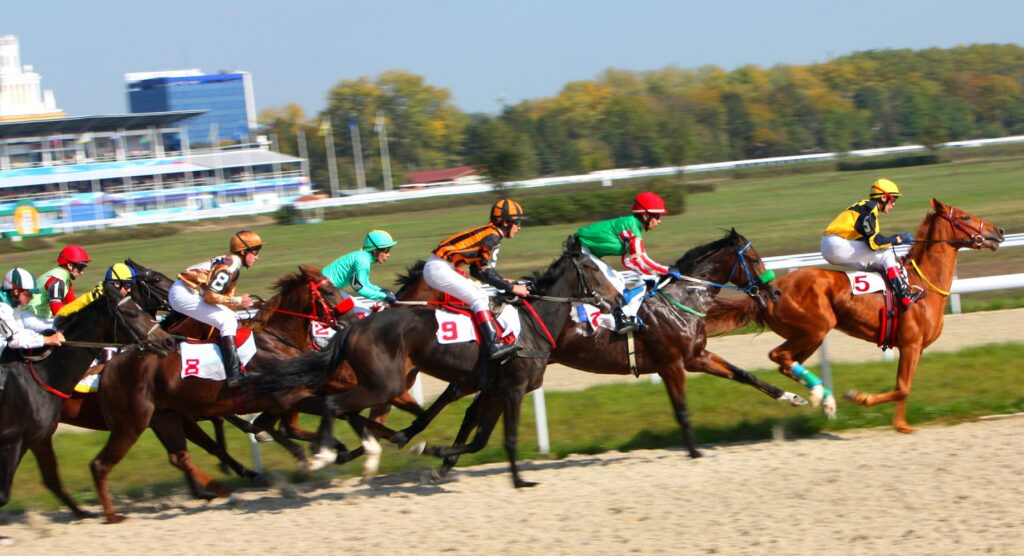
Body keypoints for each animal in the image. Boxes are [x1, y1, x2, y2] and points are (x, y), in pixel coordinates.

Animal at [278, 239, 614, 487]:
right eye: (593, 269)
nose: (616, 298)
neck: (532, 327)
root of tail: (354, 327)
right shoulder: (513, 389)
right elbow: (507, 437)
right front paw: (520, 481)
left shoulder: (493, 390)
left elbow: (477, 438)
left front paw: (433, 451)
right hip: (384, 384)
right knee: (333, 405)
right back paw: (325, 455)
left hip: (382, 385)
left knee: (343, 409)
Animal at [708, 200, 1003, 434]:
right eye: (965, 217)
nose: (998, 231)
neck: (922, 283)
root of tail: (769, 290)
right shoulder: (910, 344)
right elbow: (902, 387)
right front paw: (859, 397)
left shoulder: (916, 348)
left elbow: (904, 388)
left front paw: (901, 424)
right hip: (815, 328)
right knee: (778, 356)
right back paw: (822, 395)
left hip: (810, 335)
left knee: (786, 362)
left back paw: (822, 398)